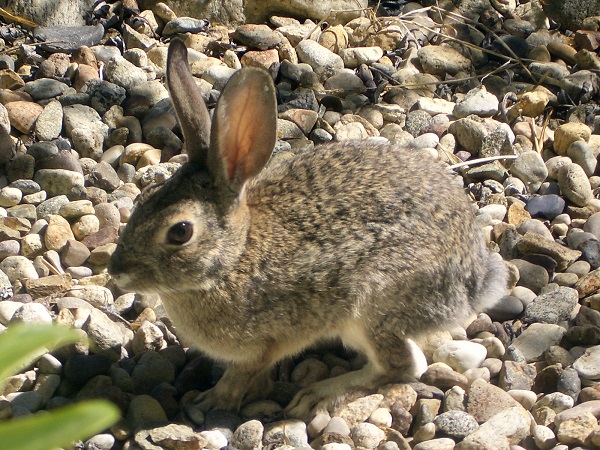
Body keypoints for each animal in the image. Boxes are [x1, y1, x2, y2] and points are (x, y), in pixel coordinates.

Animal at [110, 37, 508, 418]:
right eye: (145, 196)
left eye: (180, 232)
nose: (117, 272)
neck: (234, 258)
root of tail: (473, 281)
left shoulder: (262, 346)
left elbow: (240, 376)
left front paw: (210, 401)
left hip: (373, 304)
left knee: (401, 366)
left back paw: (319, 395)